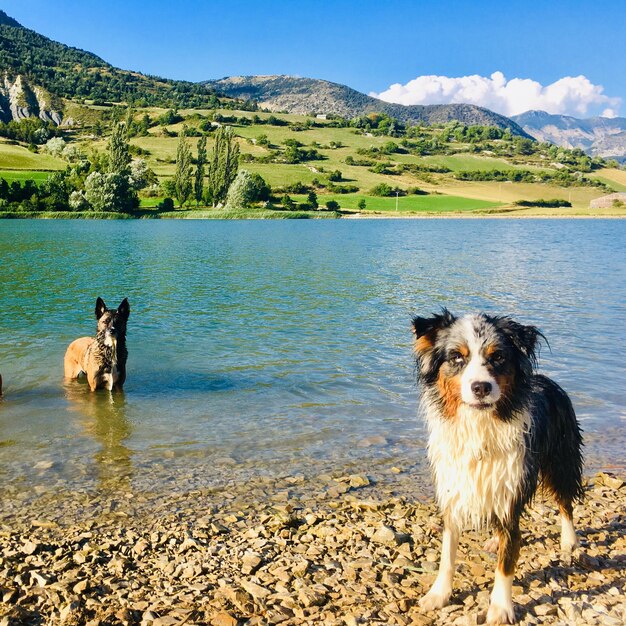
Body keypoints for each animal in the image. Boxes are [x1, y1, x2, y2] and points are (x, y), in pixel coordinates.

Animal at [412, 308, 584, 624]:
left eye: (498, 357)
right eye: (457, 357)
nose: (481, 387)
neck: (479, 424)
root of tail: (549, 381)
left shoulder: (511, 490)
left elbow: (506, 562)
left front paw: (500, 608)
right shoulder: (454, 491)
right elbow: (447, 554)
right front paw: (438, 594)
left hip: (560, 459)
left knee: (565, 502)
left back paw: (569, 541)